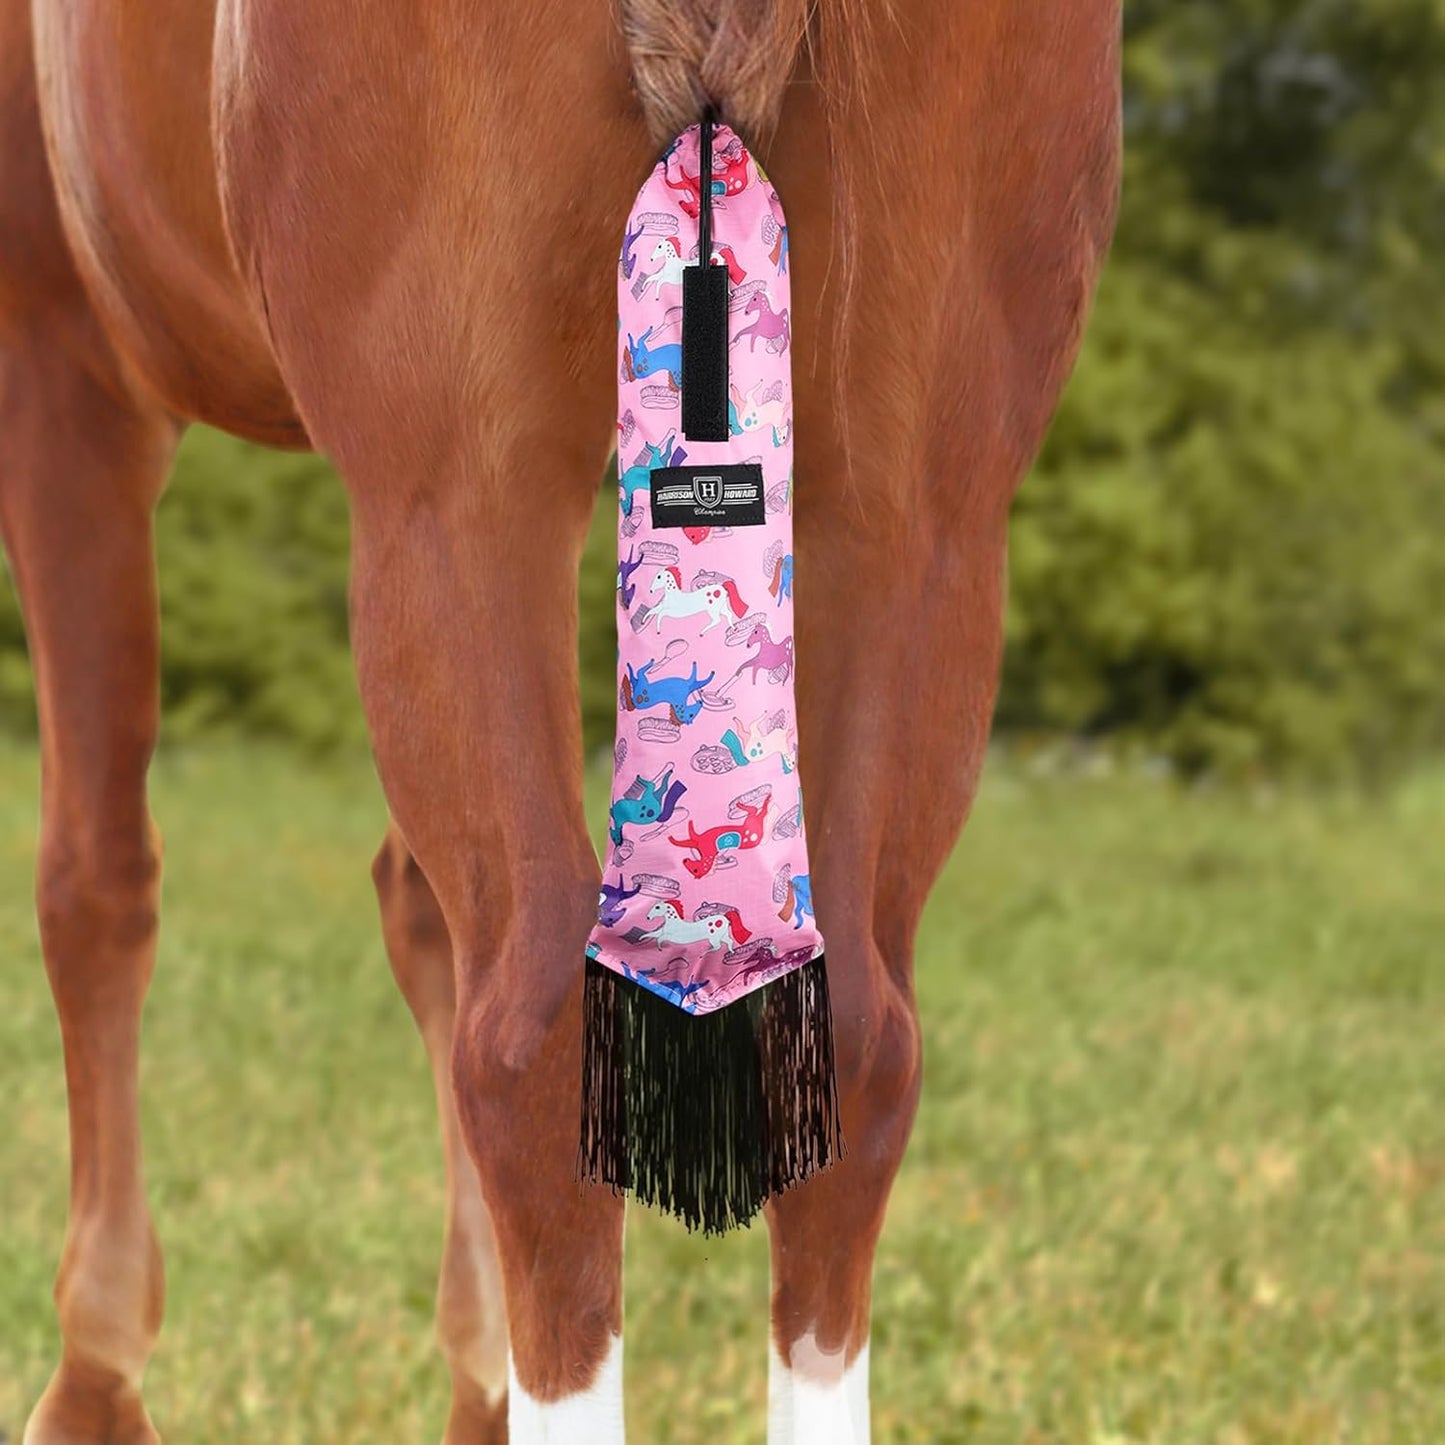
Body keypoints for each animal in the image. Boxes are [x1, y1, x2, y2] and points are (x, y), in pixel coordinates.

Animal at [0, 0, 1120, 1439]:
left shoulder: (59, 363)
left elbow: (93, 886)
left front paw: (93, 1375)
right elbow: (415, 909)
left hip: (453, 496)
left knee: (526, 1040)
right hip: (919, 514)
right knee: (857, 1041)